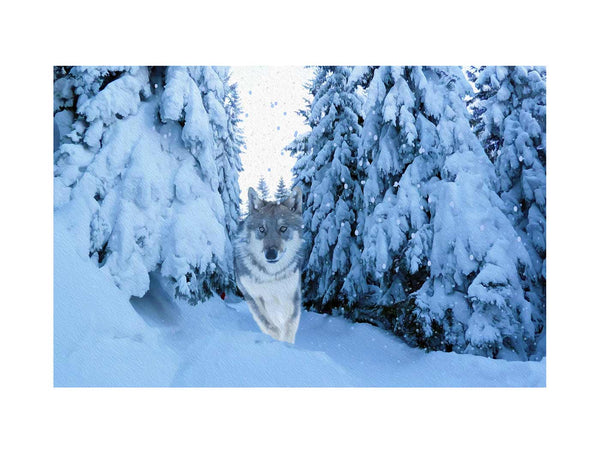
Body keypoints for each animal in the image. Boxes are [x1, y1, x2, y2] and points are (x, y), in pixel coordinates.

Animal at [234, 185, 304, 342]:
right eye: (262, 229)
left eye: (283, 228)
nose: (271, 254)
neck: (271, 275)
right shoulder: (253, 296)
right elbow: (267, 324)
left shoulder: (290, 295)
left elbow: (289, 326)